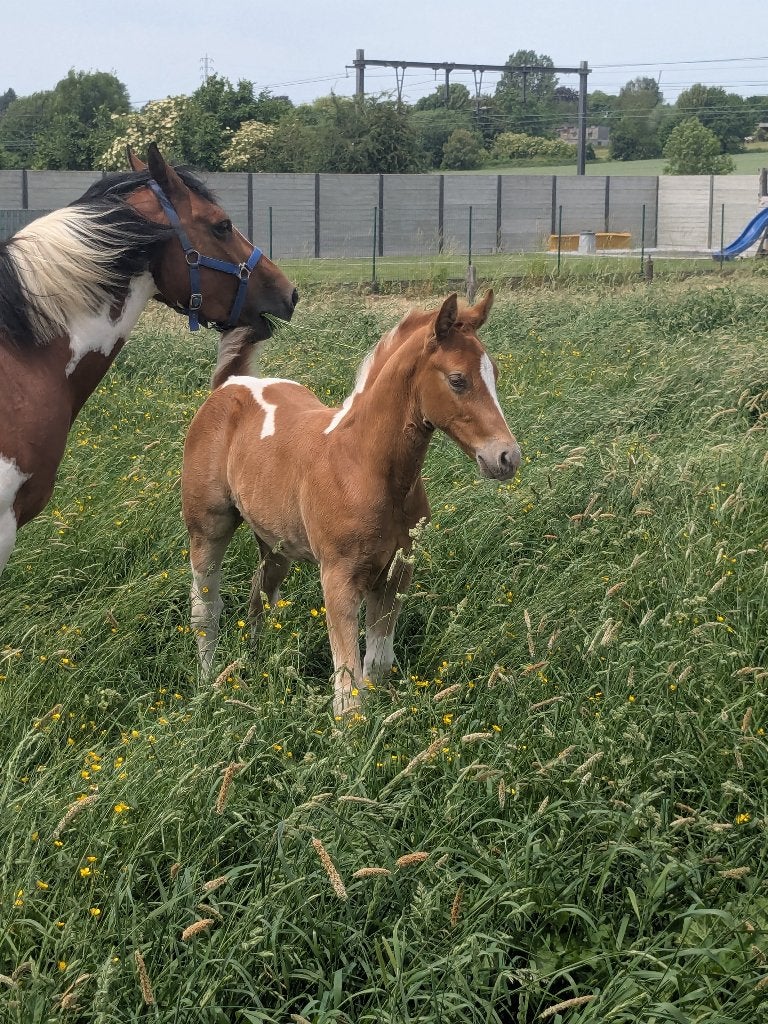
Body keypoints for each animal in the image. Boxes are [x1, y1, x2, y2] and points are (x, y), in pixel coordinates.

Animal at [181, 290, 521, 718]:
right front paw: (352, 730)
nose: (508, 457)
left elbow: (377, 664)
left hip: (275, 541)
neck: (363, 464)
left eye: (495, 372)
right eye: (458, 379)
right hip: (207, 528)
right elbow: (348, 686)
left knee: (260, 592)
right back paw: (207, 683)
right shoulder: (338, 577)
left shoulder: (396, 572)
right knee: (205, 610)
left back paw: (256, 663)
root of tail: (230, 385)